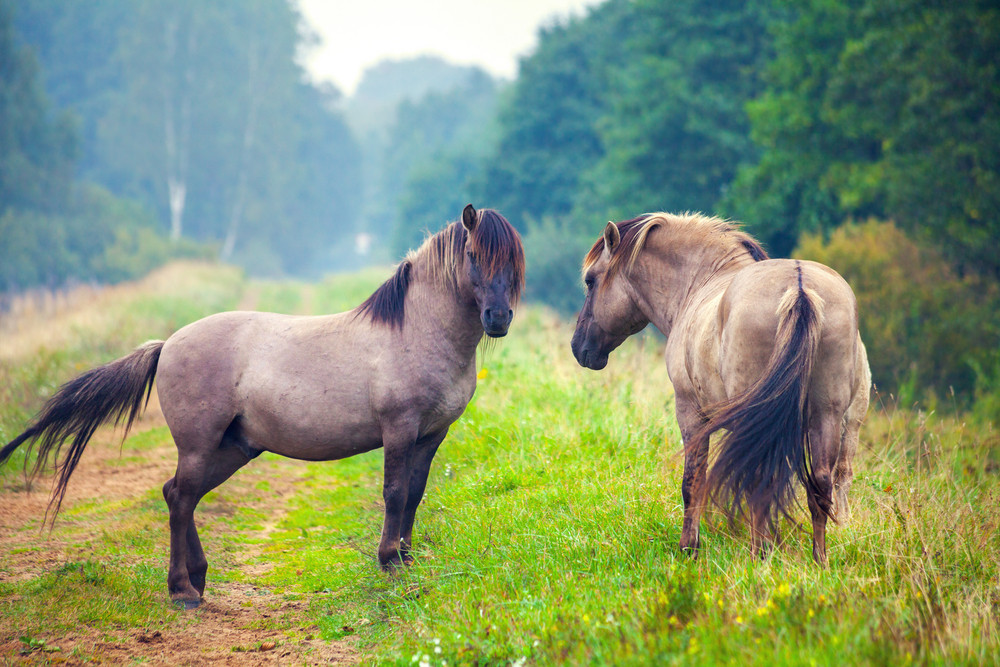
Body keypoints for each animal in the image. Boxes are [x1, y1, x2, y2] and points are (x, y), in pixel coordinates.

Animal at [0, 206, 528, 608]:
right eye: (474, 256)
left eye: (513, 262)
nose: (499, 318)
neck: (417, 330)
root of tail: (167, 344)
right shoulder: (399, 429)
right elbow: (395, 494)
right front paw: (389, 563)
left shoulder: (431, 434)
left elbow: (415, 495)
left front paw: (407, 561)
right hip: (199, 445)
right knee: (180, 499)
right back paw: (182, 592)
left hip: (234, 448)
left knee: (178, 494)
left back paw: (199, 578)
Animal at [572, 213, 868, 564]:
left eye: (591, 280)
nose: (578, 347)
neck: (701, 282)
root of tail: (800, 288)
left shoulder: (690, 411)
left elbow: (693, 480)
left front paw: (689, 547)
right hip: (827, 415)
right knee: (820, 484)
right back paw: (818, 561)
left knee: (760, 479)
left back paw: (758, 555)